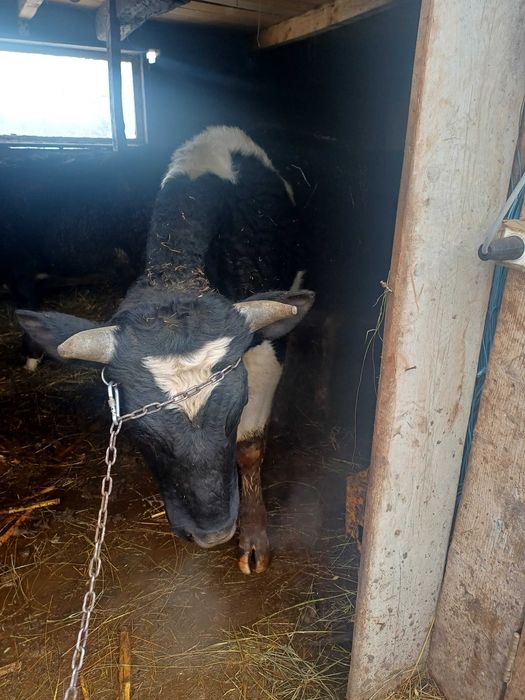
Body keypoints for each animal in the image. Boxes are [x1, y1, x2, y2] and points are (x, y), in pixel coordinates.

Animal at [16, 126, 315, 574]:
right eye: (139, 428)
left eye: (238, 406)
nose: (211, 534)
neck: (178, 266)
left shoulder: (267, 350)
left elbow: (249, 446)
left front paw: (253, 537)